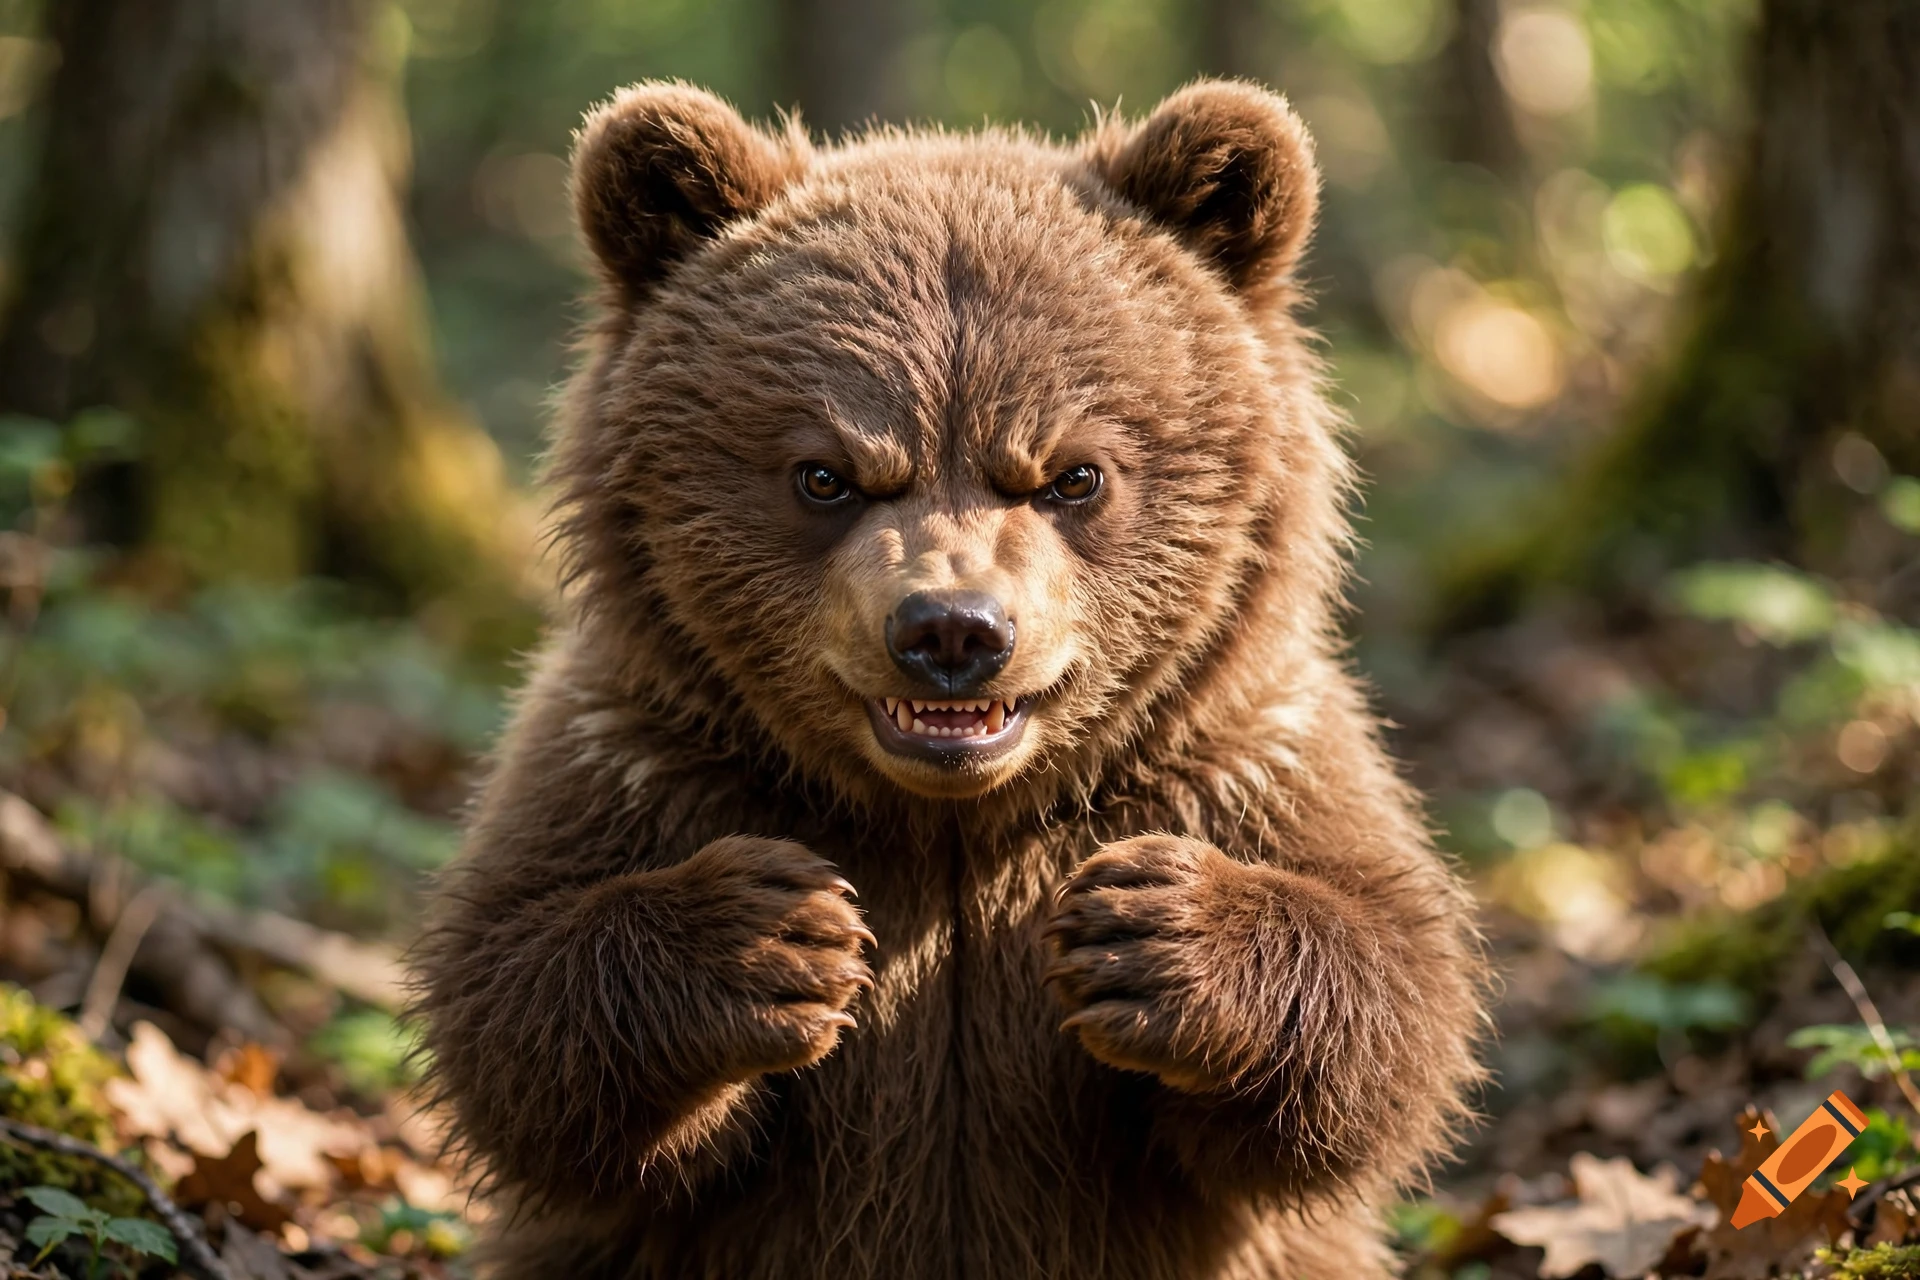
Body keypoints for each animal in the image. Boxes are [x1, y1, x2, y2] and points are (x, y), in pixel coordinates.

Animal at [413, 78, 1487, 1280]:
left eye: (1073, 473)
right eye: (827, 473)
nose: (953, 629)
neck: (954, 821)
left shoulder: (1243, 754)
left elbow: (1392, 1002)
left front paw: (1151, 928)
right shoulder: (646, 755)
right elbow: (510, 1006)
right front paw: (775, 930)